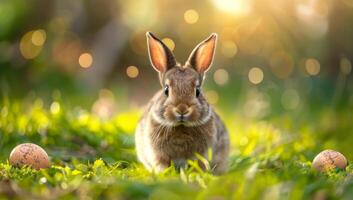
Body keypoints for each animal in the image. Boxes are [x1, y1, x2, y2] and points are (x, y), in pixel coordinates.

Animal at [134, 32, 228, 174]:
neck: (181, 126)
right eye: (166, 90)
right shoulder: (158, 155)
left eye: (197, 91)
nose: (182, 109)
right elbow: (161, 163)